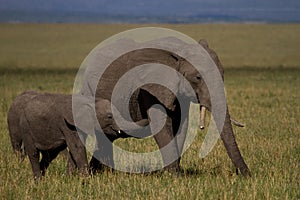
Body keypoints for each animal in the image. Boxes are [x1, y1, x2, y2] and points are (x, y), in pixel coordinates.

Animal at [7, 90, 147, 180]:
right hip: (25, 127)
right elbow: (77, 147)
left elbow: (75, 149)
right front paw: (87, 180)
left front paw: (68, 179)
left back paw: (42, 177)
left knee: (49, 155)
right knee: (32, 153)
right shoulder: (67, 125)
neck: (89, 101)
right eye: (109, 116)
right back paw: (38, 180)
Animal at [80, 36, 251, 177]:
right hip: (88, 89)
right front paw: (174, 176)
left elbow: (182, 128)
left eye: (223, 74)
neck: (179, 52)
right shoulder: (150, 90)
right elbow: (161, 126)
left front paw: (174, 174)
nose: (246, 175)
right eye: (197, 77)